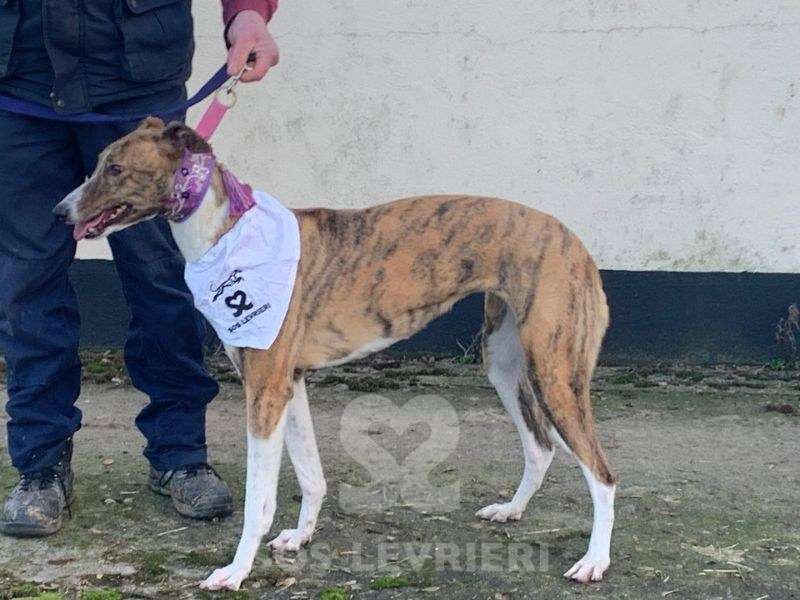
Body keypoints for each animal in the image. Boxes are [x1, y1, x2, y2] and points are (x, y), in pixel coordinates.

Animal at [54, 117, 616, 591]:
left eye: (115, 168)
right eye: (101, 162)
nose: (59, 212)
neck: (227, 234)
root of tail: (577, 243)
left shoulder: (264, 390)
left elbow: (259, 500)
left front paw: (236, 570)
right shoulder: (290, 382)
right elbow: (311, 473)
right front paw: (300, 537)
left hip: (555, 372)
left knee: (602, 474)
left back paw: (594, 561)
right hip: (503, 363)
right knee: (540, 446)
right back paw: (511, 510)